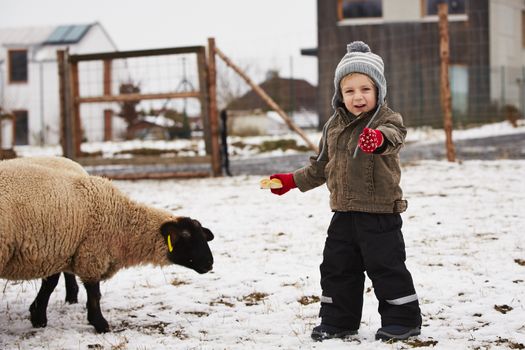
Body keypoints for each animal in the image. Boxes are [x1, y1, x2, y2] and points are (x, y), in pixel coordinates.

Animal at [0, 157, 213, 334]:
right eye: (186, 235)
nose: (210, 263)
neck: (123, 223)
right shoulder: (91, 253)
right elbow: (94, 294)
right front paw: (100, 324)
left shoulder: (60, 249)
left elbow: (50, 284)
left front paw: (38, 316)